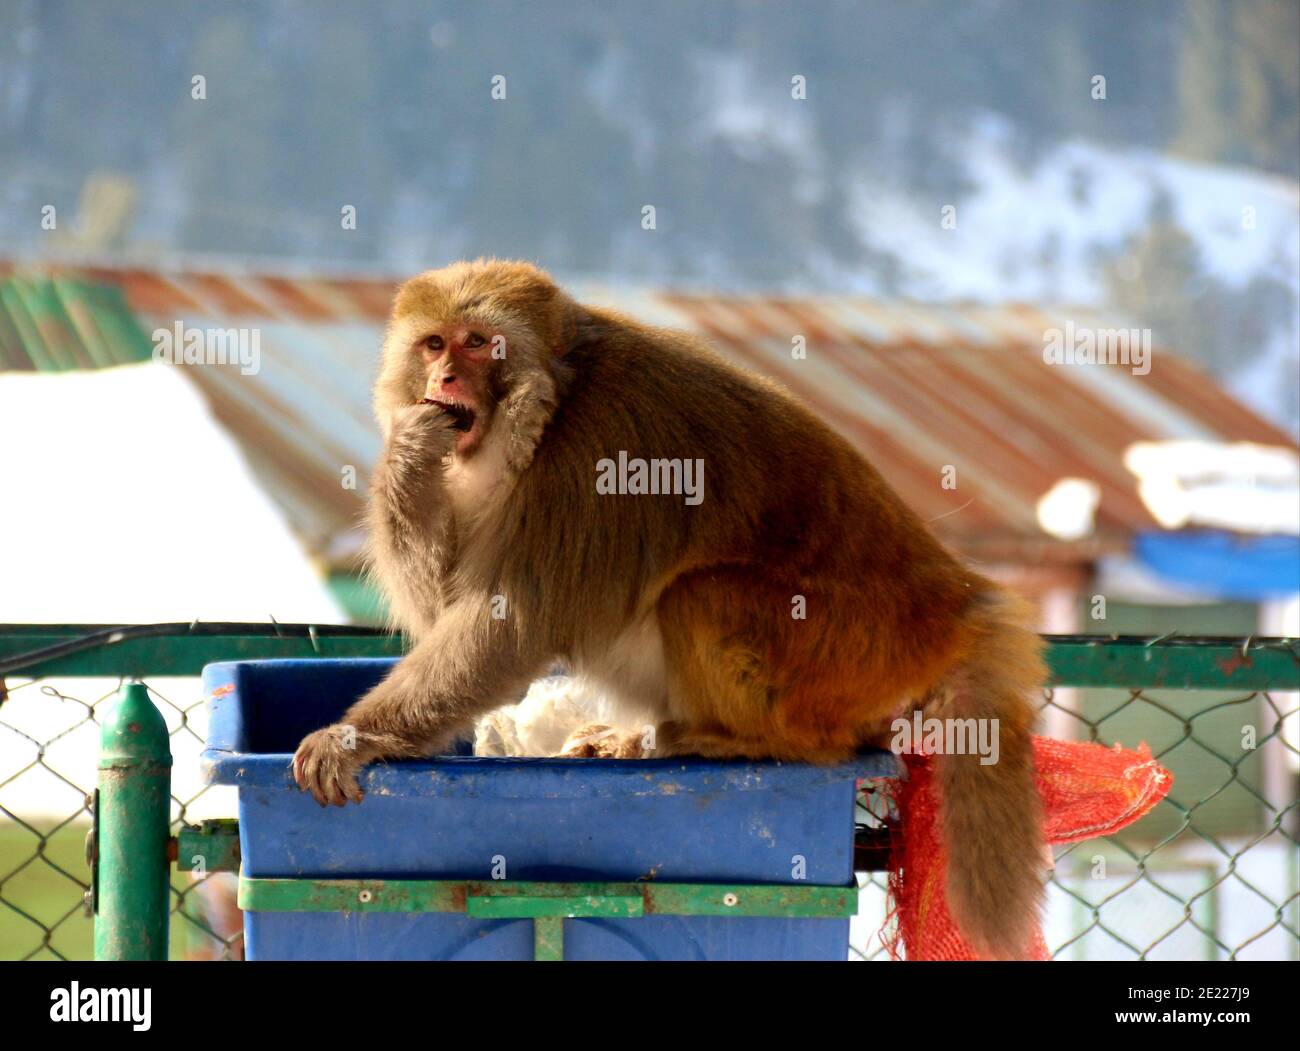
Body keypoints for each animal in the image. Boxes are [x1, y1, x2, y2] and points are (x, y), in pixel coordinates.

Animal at [295, 258, 1045, 957]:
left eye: (477, 343)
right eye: (433, 345)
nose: (447, 378)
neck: (555, 403)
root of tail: (954, 609)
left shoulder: (596, 451)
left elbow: (510, 627)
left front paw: (353, 737)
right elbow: (442, 607)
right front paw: (409, 447)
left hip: (849, 654)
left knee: (702, 595)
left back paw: (743, 740)